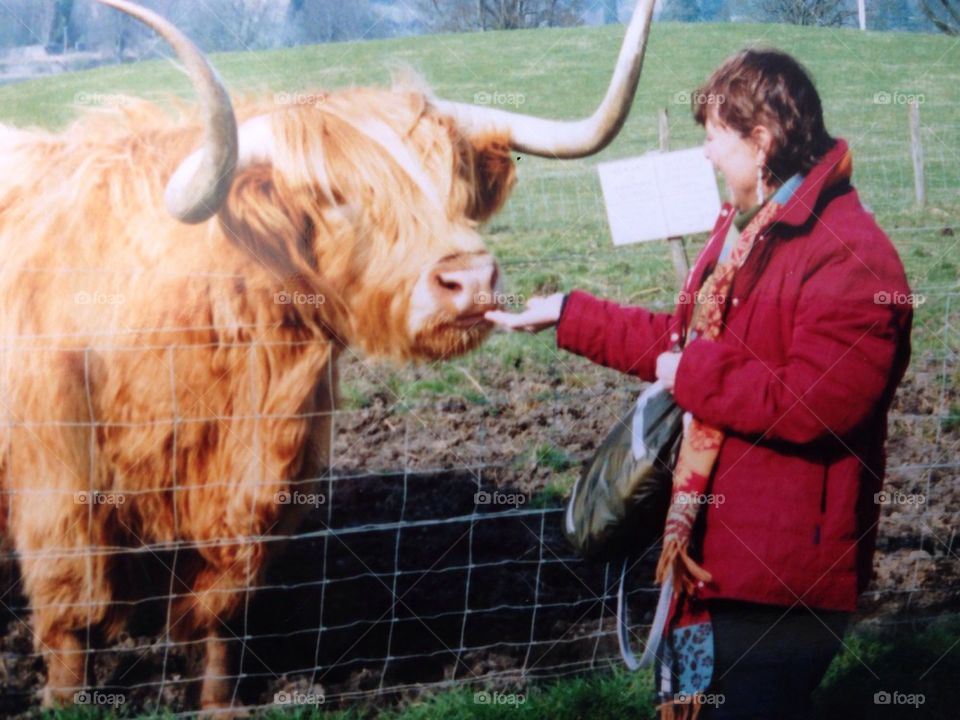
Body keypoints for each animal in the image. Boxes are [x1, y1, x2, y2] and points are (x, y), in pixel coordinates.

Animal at [0, 0, 654, 714]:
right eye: (333, 198)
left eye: (452, 183)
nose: (471, 280)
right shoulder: (59, 488)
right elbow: (72, 615)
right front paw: (63, 703)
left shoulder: (248, 495)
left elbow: (220, 611)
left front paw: (220, 702)